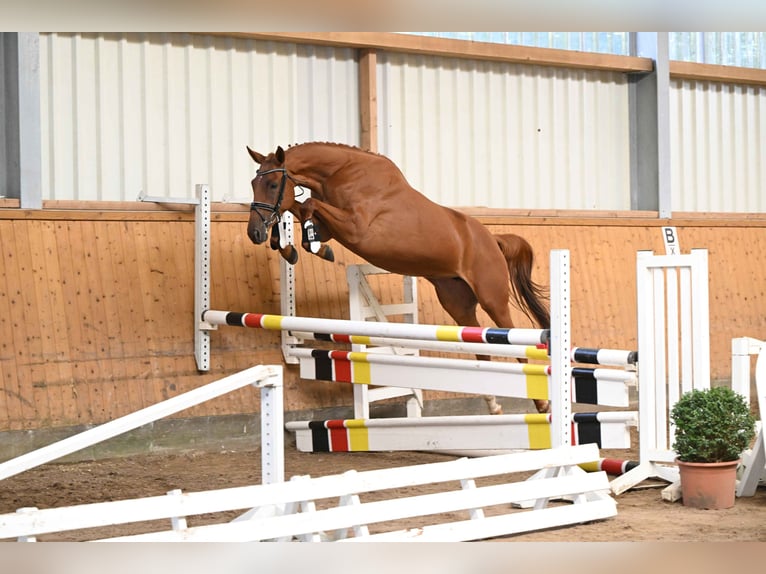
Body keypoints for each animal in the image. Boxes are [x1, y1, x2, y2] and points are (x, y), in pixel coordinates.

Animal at [246, 143, 552, 414]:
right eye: (253, 183)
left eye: (272, 184)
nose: (254, 233)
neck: (342, 173)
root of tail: (493, 239)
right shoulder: (332, 225)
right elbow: (300, 208)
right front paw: (290, 247)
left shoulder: (356, 228)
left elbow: (308, 204)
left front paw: (311, 246)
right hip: (457, 303)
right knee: (480, 348)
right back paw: (494, 405)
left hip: (492, 298)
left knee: (514, 341)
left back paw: (542, 405)